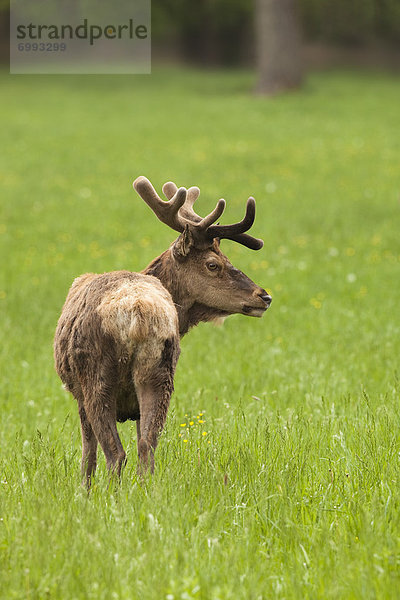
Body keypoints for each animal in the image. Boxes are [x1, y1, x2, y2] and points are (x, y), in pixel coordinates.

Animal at [53, 176, 272, 486]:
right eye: (213, 263)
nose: (264, 296)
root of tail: (139, 311)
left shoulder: (77, 394)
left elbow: (87, 455)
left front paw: (84, 491)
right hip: (160, 372)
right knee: (147, 447)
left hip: (96, 376)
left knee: (116, 453)